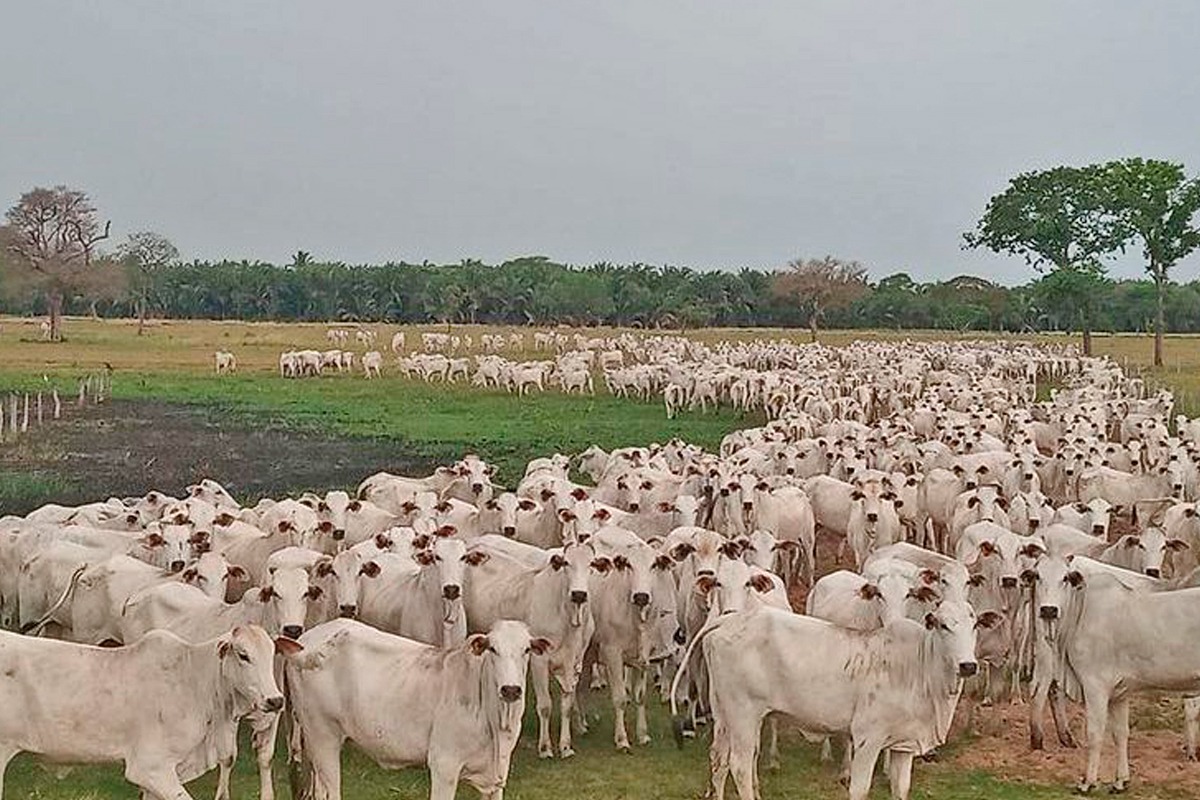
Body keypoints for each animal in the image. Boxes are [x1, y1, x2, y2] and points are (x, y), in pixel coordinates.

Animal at [283, 618, 547, 800]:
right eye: (493, 649)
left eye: (526, 650)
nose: (511, 689)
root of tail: (306, 643)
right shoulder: (444, 765)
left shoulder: (496, 776)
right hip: (322, 736)